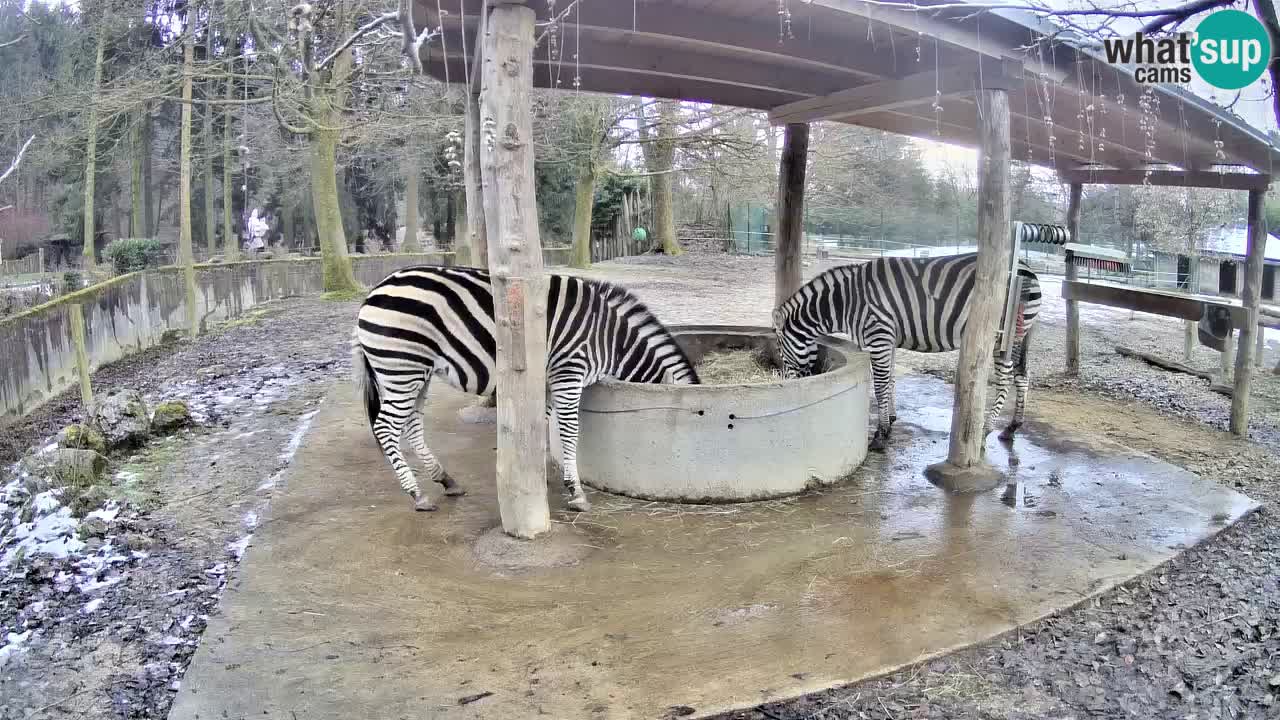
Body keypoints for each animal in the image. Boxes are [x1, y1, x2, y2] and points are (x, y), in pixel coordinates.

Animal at [350, 263, 701, 509]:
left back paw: (446, 480)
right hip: (402, 365)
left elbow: (539, 423)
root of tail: (374, 291)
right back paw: (417, 494)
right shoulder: (568, 372)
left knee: (411, 425)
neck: (611, 340)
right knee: (386, 427)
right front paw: (576, 493)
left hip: (415, 371)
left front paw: (536, 476)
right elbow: (569, 430)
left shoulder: (544, 381)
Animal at [768, 249, 1039, 445]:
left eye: (780, 350)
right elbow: (890, 380)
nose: (786, 383)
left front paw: (880, 434)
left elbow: (879, 385)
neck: (846, 302)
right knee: (1023, 375)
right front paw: (891, 420)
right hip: (1024, 333)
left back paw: (986, 430)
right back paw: (1011, 428)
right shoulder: (888, 338)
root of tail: (1027, 268)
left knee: (1005, 379)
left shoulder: (878, 334)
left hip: (1001, 336)